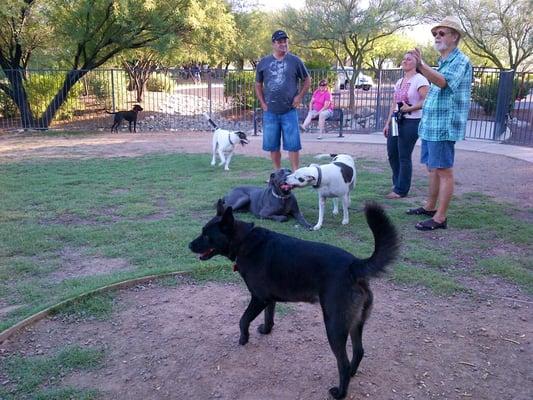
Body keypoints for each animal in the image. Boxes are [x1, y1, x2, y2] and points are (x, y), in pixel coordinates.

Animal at [189, 202, 396, 398]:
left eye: (206, 236)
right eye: (202, 232)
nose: (189, 245)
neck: (244, 241)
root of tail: (354, 265)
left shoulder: (258, 298)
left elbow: (243, 320)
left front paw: (243, 339)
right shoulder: (268, 300)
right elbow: (269, 317)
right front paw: (266, 330)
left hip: (334, 325)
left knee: (342, 363)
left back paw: (340, 392)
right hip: (355, 322)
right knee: (359, 351)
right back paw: (353, 373)